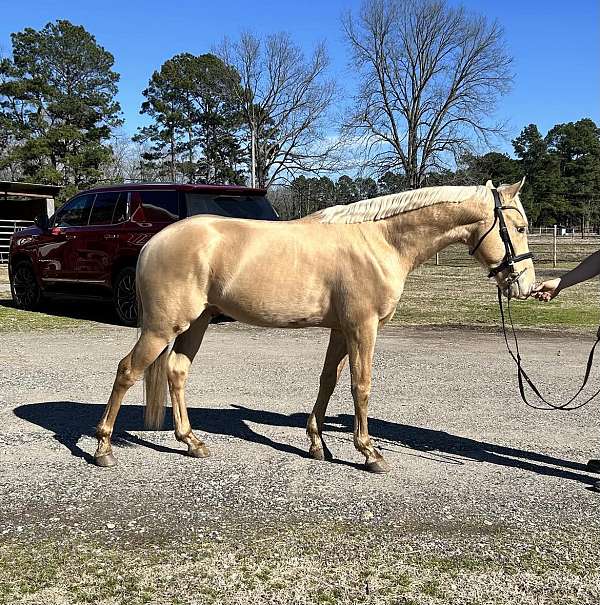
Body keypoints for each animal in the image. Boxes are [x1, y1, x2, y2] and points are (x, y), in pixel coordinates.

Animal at [94, 177, 536, 470]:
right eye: (518, 227)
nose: (525, 285)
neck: (380, 240)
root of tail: (153, 242)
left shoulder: (341, 329)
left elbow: (328, 381)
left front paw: (317, 444)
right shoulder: (362, 327)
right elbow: (361, 386)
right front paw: (369, 452)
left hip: (196, 323)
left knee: (176, 371)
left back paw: (192, 442)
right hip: (162, 328)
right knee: (127, 370)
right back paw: (103, 449)